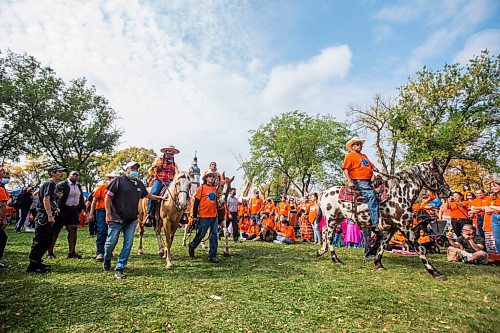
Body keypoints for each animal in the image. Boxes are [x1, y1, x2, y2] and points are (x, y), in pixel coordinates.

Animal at [316, 160, 454, 278]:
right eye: (438, 173)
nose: (449, 192)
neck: (399, 193)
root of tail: (323, 193)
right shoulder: (405, 226)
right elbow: (420, 248)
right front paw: (435, 272)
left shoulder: (392, 227)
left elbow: (383, 243)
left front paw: (378, 263)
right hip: (331, 219)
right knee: (329, 236)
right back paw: (335, 259)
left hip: (337, 219)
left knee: (324, 231)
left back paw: (321, 251)